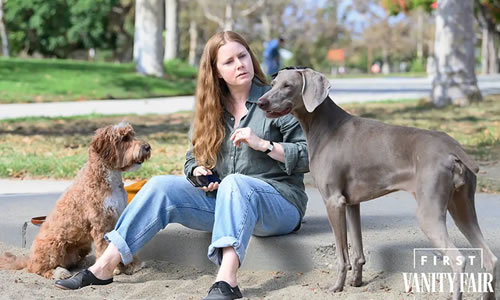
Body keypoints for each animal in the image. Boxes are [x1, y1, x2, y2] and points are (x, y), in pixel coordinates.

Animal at [0, 122, 150, 278]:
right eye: (125, 138)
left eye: (133, 135)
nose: (147, 147)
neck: (108, 178)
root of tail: (29, 259)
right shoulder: (101, 223)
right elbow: (104, 248)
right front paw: (114, 269)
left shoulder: (117, 216)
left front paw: (132, 265)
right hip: (53, 246)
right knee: (39, 269)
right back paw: (59, 272)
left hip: (82, 247)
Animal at [256, 68, 498, 300]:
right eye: (272, 84)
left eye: (288, 86)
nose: (260, 102)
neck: (325, 127)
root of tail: (453, 148)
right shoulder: (351, 202)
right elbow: (357, 249)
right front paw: (356, 281)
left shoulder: (333, 201)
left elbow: (342, 254)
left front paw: (337, 287)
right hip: (462, 207)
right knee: (490, 258)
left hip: (429, 211)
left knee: (458, 260)